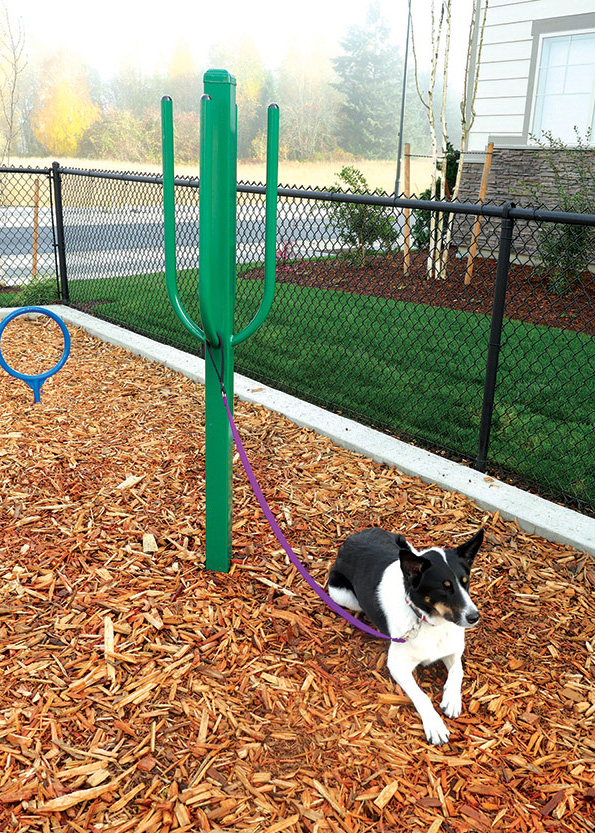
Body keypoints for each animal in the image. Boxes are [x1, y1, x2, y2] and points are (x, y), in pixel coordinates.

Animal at [328, 528, 486, 740]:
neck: (429, 622)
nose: (474, 617)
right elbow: (422, 695)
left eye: (466, 582)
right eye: (443, 588)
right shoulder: (398, 665)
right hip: (344, 596)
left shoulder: (453, 650)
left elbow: (457, 671)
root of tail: (355, 536)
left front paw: (452, 699)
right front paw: (435, 725)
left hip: (409, 548)